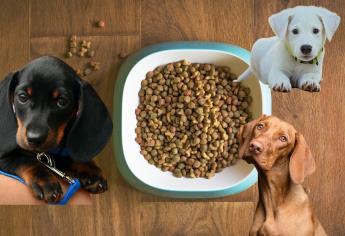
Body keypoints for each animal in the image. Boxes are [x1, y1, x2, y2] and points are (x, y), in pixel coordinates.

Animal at [0, 55, 112, 203]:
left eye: (62, 101)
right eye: (23, 97)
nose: (34, 139)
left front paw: (90, 169)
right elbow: (24, 160)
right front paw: (45, 180)